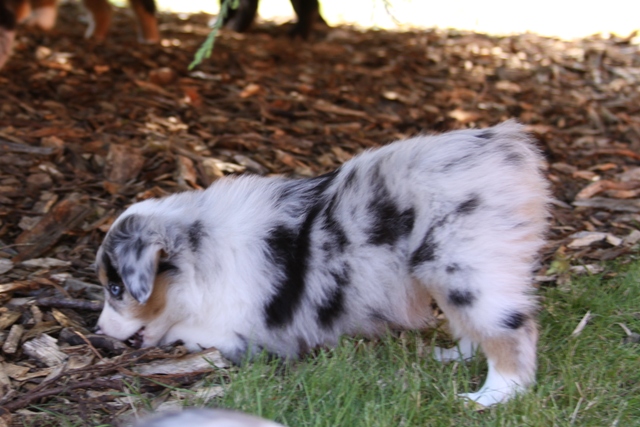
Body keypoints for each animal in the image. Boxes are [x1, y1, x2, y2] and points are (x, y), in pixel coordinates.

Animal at [95, 121, 550, 407]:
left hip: (463, 267)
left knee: (512, 331)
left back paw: (491, 398)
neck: (199, 252)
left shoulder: (241, 330)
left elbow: (193, 333)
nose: (97, 332)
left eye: (116, 288)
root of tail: (507, 148)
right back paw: (455, 356)